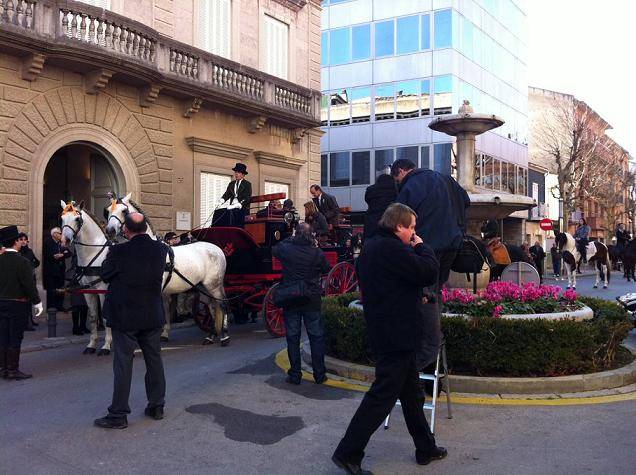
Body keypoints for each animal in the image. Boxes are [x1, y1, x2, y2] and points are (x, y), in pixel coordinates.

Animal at [59, 200, 112, 354]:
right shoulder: (88, 291)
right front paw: (91, 345)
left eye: (77, 219)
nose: (65, 240)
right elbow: (93, 316)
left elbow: (105, 317)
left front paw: (106, 346)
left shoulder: (103, 289)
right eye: (62, 218)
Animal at [105, 193, 232, 346]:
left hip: (214, 284)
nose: (110, 231)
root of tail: (217, 249)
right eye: (108, 211)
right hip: (202, 287)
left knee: (222, 304)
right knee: (212, 307)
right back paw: (211, 336)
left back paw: (224, 336)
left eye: (124, 211)